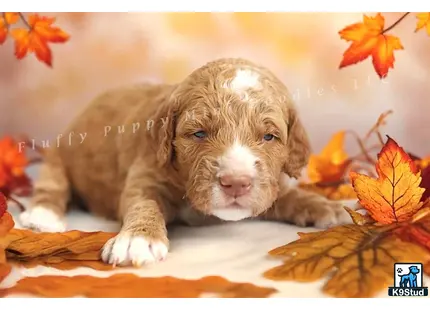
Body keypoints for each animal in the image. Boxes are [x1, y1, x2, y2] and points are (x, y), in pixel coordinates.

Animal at [19, 58, 350, 266]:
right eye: (199, 133)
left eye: (269, 137)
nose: (236, 184)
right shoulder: (146, 173)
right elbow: (144, 203)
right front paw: (137, 239)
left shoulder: (270, 183)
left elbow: (289, 195)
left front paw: (327, 207)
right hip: (58, 159)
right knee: (53, 186)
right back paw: (42, 216)